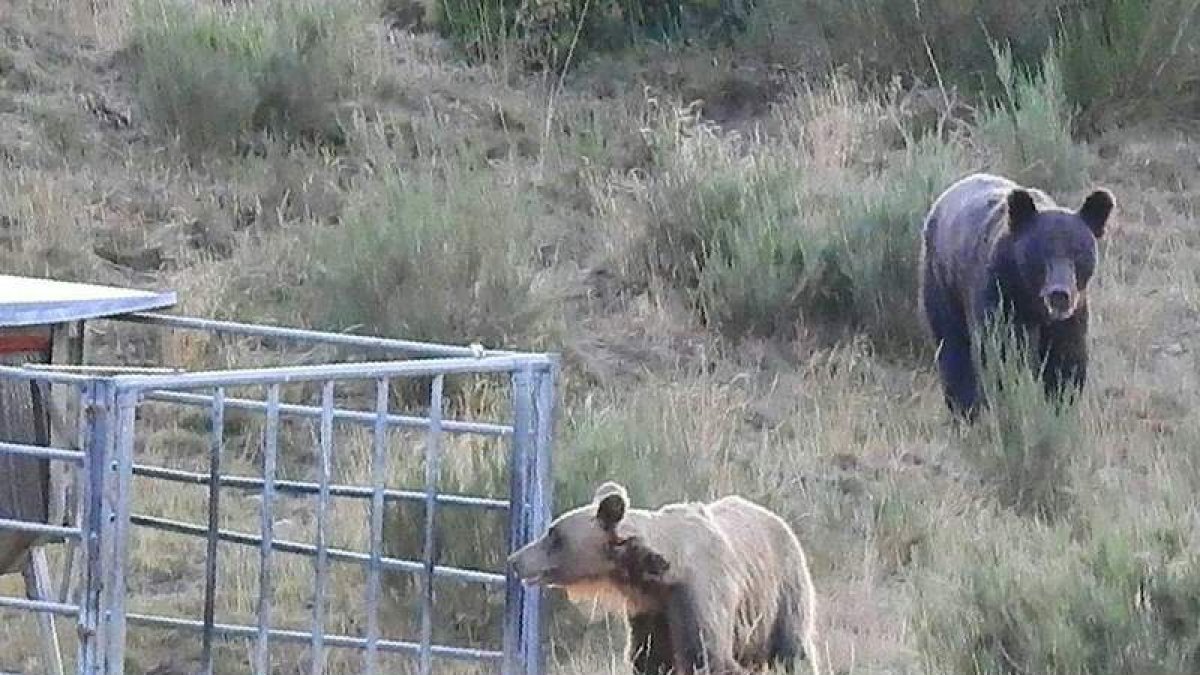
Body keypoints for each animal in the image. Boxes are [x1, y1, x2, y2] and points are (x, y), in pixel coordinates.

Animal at [507, 482, 821, 675]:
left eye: (553, 535)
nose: (515, 559)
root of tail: (781, 521)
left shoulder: (699, 592)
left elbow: (708, 656)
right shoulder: (652, 611)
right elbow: (650, 658)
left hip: (783, 592)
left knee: (793, 650)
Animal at [919, 172, 1115, 420]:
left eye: (1078, 252)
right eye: (1042, 252)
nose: (1059, 294)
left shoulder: (1071, 315)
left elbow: (1065, 362)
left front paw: (1059, 408)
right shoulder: (997, 294)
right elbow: (999, 352)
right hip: (942, 283)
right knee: (953, 348)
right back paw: (965, 410)